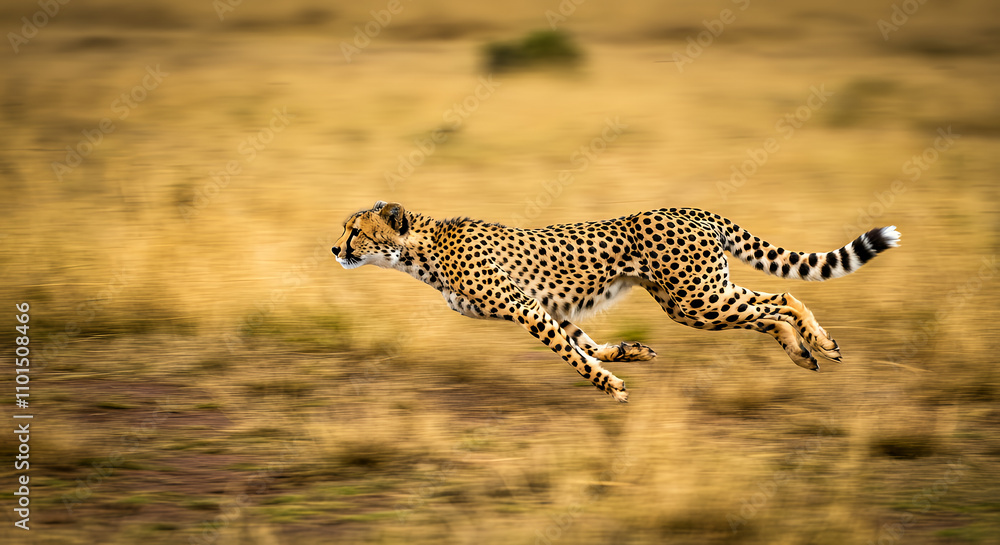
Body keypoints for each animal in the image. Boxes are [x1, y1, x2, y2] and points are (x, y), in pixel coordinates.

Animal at [332, 201, 900, 403]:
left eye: (355, 230)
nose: (335, 249)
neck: (421, 249)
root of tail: (687, 209)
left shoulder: (526, 309)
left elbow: (572, 357)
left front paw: (610, 385)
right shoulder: (551, 308)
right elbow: (585, 344)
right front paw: (631, 354)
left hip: (697, 298)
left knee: (779, 299)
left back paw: (814, 345)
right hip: (694, 297)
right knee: (773, 302)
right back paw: (806, 350)